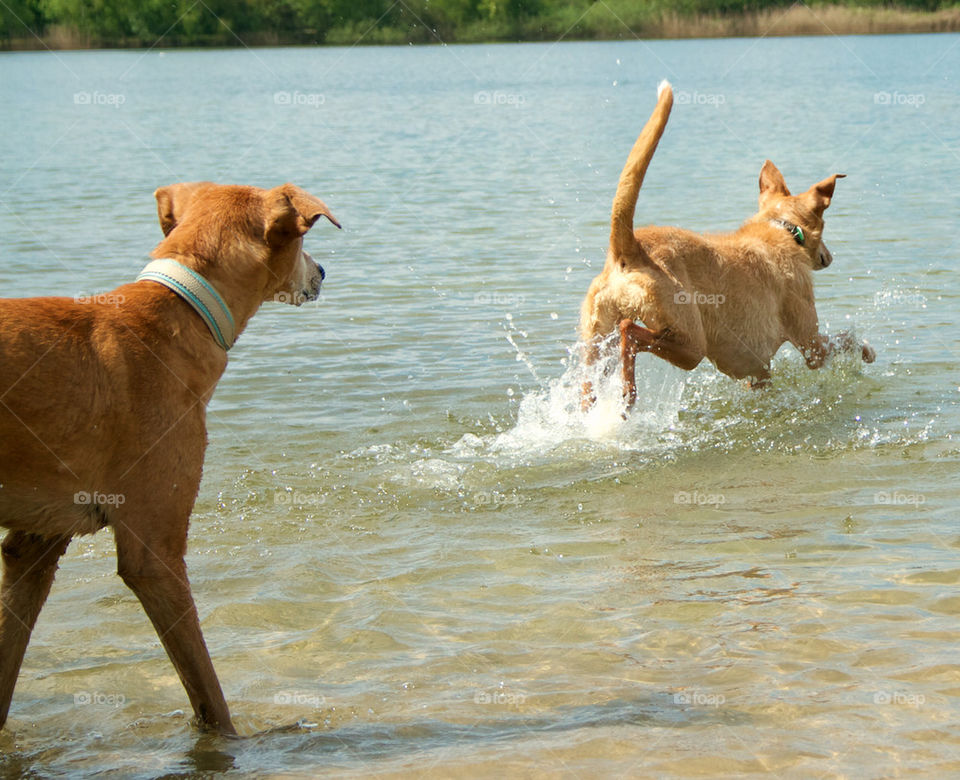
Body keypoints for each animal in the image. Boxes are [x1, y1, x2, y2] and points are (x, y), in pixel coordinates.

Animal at [0, 180, 344, 736]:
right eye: (302, 242)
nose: (322, 272)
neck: (178, 312)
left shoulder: (33, 547)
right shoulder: (154, 553)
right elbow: (206, 692)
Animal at [576, 80, 876, 408]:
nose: (829, 257)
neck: (782, 228)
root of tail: (629, 250)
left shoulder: (757, 371)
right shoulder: (812, 345)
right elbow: (845, 339)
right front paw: (867, 351)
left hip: (596, 342)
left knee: (595, 375)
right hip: (690, 343)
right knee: (629, 332)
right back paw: (627, 395)